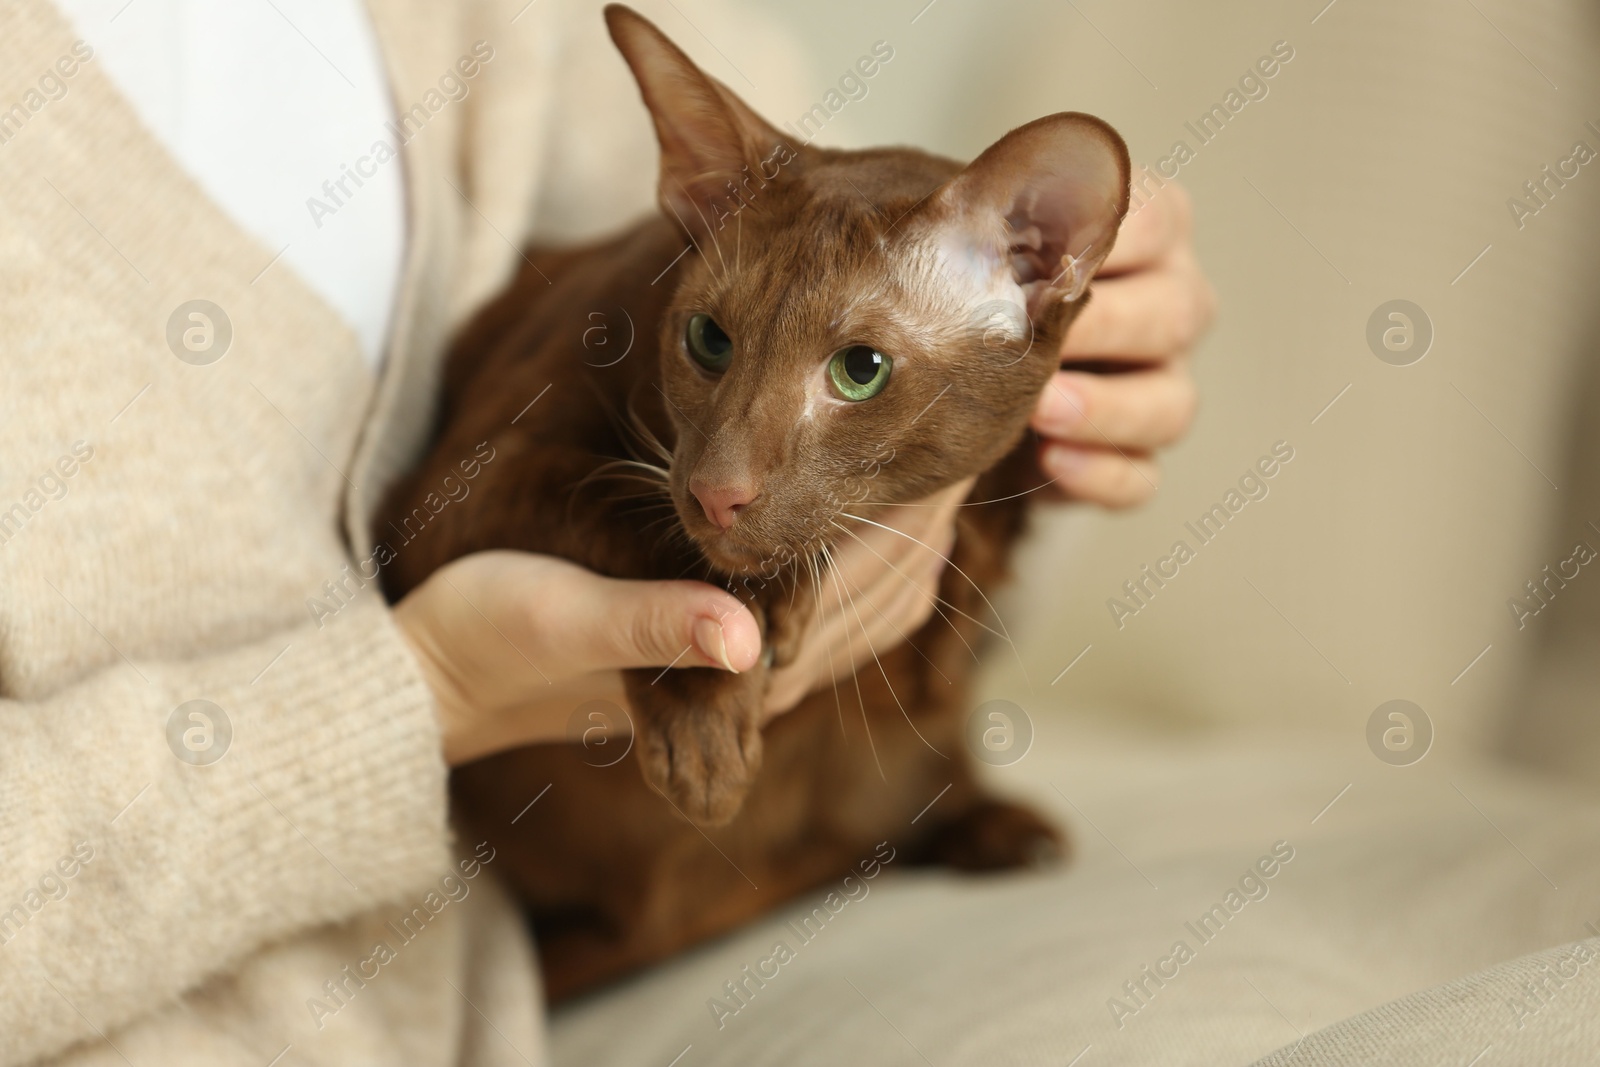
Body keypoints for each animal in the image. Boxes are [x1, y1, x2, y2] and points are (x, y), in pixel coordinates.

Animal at [377, 2, 1126, 1004]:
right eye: (707, 338)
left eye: (860, 370)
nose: (716, 490)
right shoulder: (440, 496)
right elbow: (617, 509)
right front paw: (713, 714)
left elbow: (959, 598)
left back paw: (996, 827)